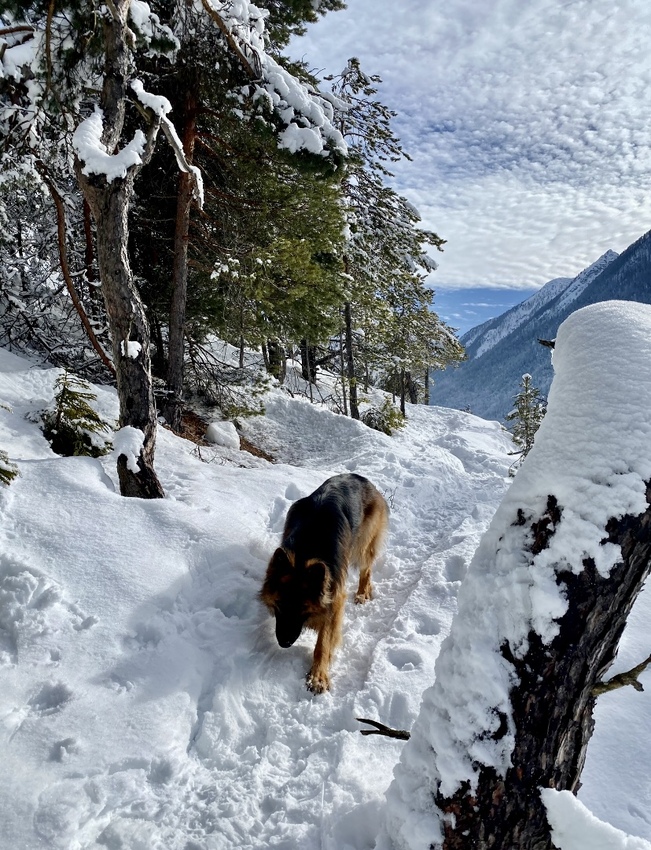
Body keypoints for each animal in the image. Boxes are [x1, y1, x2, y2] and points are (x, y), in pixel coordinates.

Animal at [262, 470, 392, 688]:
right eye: (279, 604)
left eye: (303, 608)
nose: (284, 643)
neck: (306, 551)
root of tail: (360, 478)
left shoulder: (335, 598)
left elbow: (323, 641)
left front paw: (318, 676)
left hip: (362, 544)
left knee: (366, 569)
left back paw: (362, 593)